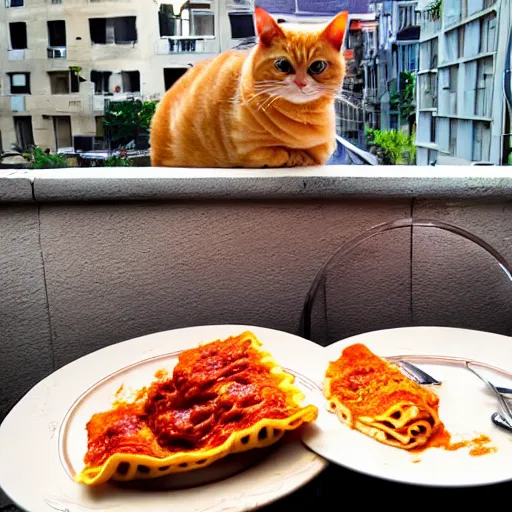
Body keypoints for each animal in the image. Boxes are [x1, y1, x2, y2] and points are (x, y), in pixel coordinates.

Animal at [149, 7, 348, 168]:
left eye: (317, 66)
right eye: (282, 65)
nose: (301, 83)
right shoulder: (248, 152)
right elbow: (281, 153)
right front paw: (296, 156)